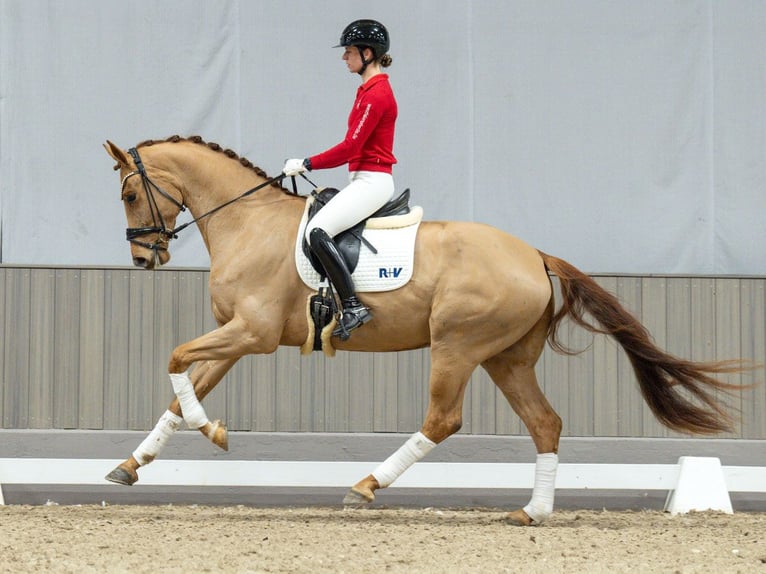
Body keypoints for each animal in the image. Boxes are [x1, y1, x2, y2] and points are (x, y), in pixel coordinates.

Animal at [102, 134, 752, 528]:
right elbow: (182, 386)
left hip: (457, 346)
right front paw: (136, 462)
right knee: (545, 422)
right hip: (506, 358)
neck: (248, 222)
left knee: (443, 419)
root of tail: (535, 255)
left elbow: (173, 358)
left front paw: (210, 433)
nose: (142, 259)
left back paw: (366, 486)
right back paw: (532, 513)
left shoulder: (253, 334)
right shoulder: (235, 335)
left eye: (130, 193)